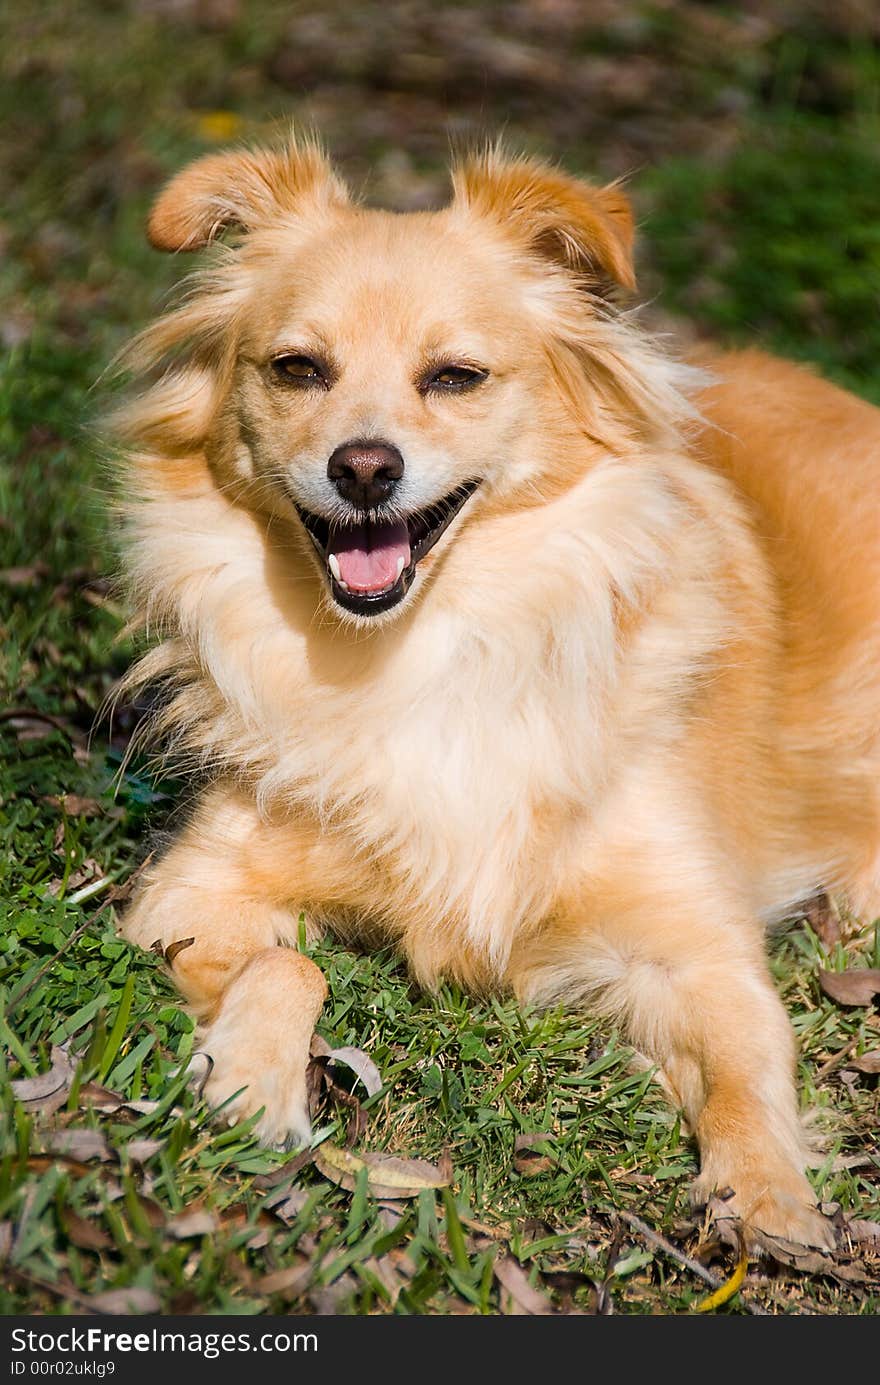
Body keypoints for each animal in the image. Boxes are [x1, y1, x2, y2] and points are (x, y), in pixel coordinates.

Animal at [115, 135, 880, 1252]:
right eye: (297, 369)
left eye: (456, 377)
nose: (363, 466)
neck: (432, 647)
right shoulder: (188, 895)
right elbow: (290, 964)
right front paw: (253, 1080)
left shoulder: (694, 947)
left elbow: (749, 1060)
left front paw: (770, 1193)